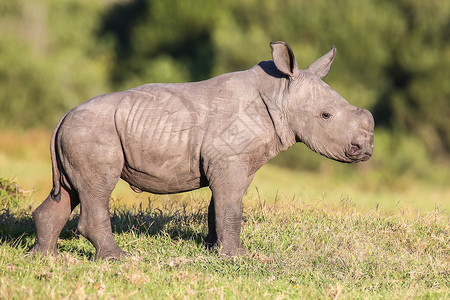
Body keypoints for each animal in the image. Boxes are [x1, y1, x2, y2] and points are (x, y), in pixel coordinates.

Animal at [30, 41, 372, 258]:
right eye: (326, 116)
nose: (366, 149)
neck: (280, 94)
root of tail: (63, 117)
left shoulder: (233, 160)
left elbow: (219, 206)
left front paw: (212, 248)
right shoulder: (229, 159)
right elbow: (231, 208)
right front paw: (237, 257)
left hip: (79, 133)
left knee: (71, 191)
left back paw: (45, 258)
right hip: (92, 133)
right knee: (97, 188)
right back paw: (118, 259)